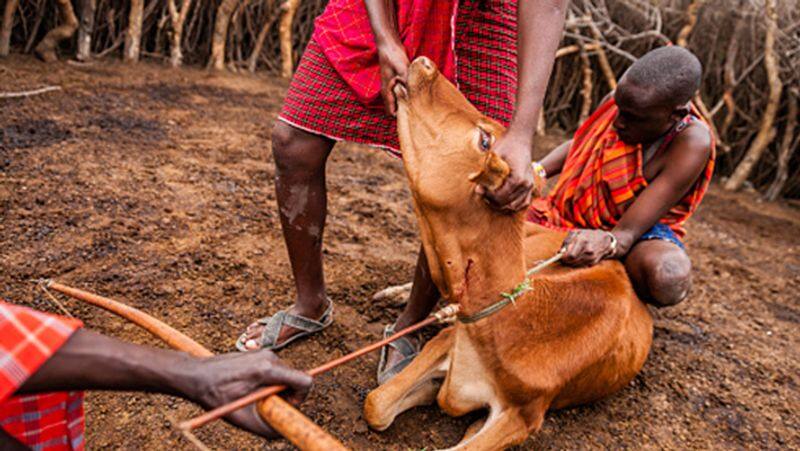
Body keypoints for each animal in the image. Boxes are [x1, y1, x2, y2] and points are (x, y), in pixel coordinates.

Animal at [366, 58, 652, 450]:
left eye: (484, 139)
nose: (425, 63)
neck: (509, 318)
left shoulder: (525, 415)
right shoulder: (448, 342)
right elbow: (376, 403)